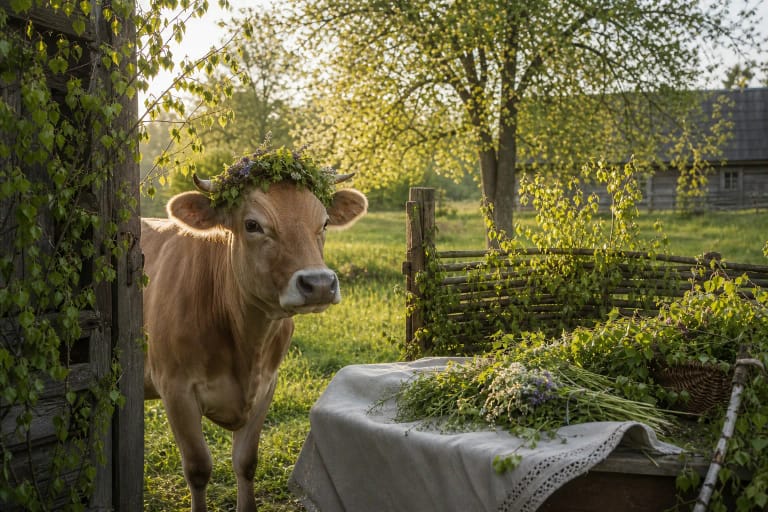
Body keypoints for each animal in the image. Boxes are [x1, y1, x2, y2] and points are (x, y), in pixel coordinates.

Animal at [141, 169, 367, 512]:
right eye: (252, 225)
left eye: (325, 222)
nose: (318, 284)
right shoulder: (174, 388)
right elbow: (198, 468)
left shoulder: (266, 385)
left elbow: (246, 461)